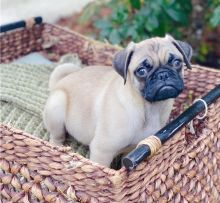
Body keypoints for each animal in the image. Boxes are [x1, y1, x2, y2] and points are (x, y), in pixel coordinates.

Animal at [43, 35, 192, 167]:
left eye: (177, 63)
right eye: (141, 71)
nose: (163, 74)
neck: (149, 108)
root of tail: (59, 83)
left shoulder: (133, 150)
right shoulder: (102, 151)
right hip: (57, 108)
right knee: (56, 137)